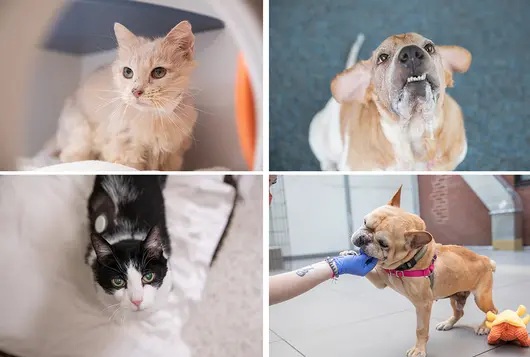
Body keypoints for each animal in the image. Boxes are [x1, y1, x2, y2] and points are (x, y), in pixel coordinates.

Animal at [54, 21, 197, 170]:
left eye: (159, 72)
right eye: (127, 72)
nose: (136, 91)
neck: (153, 118)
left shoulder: (173, 153)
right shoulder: (123, 147)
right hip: (81, 131)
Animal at [342, 186, 496, 356]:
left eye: (383, 244)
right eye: (364, 222)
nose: (363, 238)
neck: (404, 264)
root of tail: (485, 259)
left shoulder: (423, 305)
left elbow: (421, 329)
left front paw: (419, 349)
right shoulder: (380, 280)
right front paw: (349, 256)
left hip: (481, 298)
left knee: (493, 310)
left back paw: (484, 327)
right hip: (455, 296)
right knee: (459, 312)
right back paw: (448, 323)